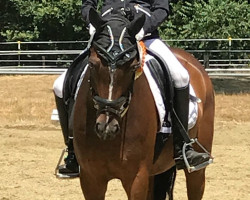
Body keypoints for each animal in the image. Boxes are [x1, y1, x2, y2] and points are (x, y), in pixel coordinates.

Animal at [73, 9, 215, 200]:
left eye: (133, 67)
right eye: (92, 64)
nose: (107, 126)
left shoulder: (136, 177)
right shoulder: (91, 178)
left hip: (196, 169)